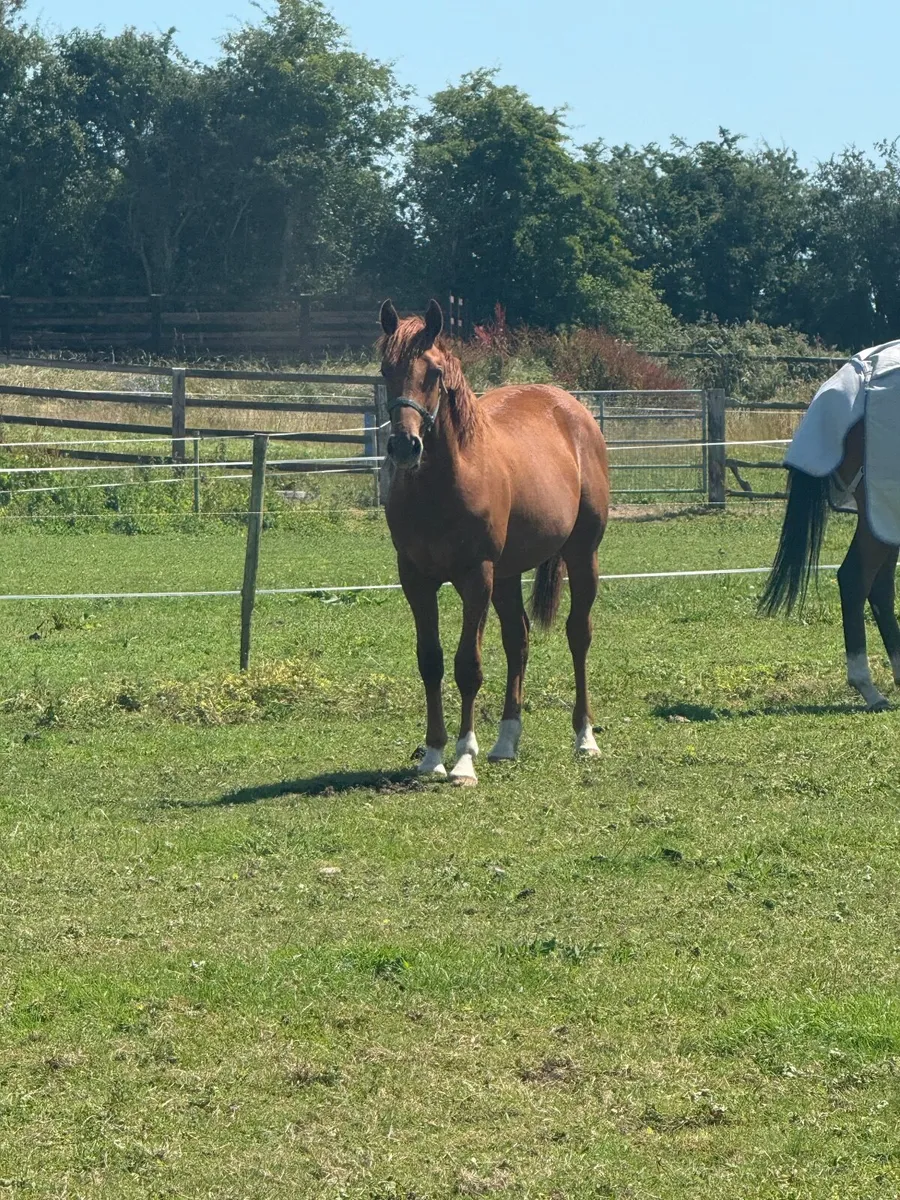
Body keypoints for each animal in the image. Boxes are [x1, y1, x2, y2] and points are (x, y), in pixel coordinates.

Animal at [378, 299, 610, 785]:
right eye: (386, 369)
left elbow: (468, 665)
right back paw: (506, 743)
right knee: (517, 639)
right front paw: (432, 755)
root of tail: (571, 407)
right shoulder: (415, 579)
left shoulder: (475, 577)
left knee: (578, 634)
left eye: (433, 372)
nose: (405, 446)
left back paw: (585, 738)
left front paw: (464, 760)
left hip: (581, 556)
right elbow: (430, 661)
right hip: (507, 575)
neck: (443, 486)